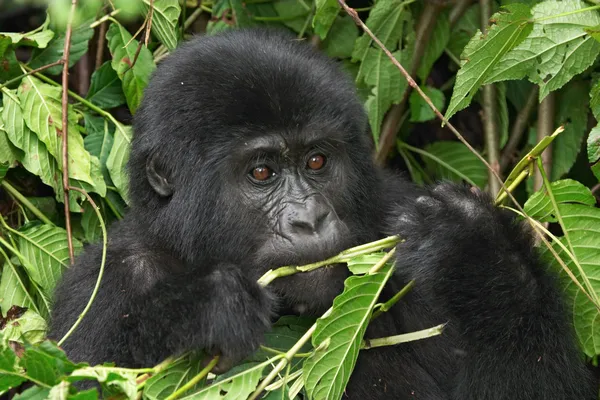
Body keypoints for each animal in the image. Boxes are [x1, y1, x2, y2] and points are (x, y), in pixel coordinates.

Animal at [50, 28, 596, 400]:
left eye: (317, 161)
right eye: (262, 172)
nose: (309, 220)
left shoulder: (391, 210)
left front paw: (474, 252)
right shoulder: (103, 285)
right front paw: (203, 306)